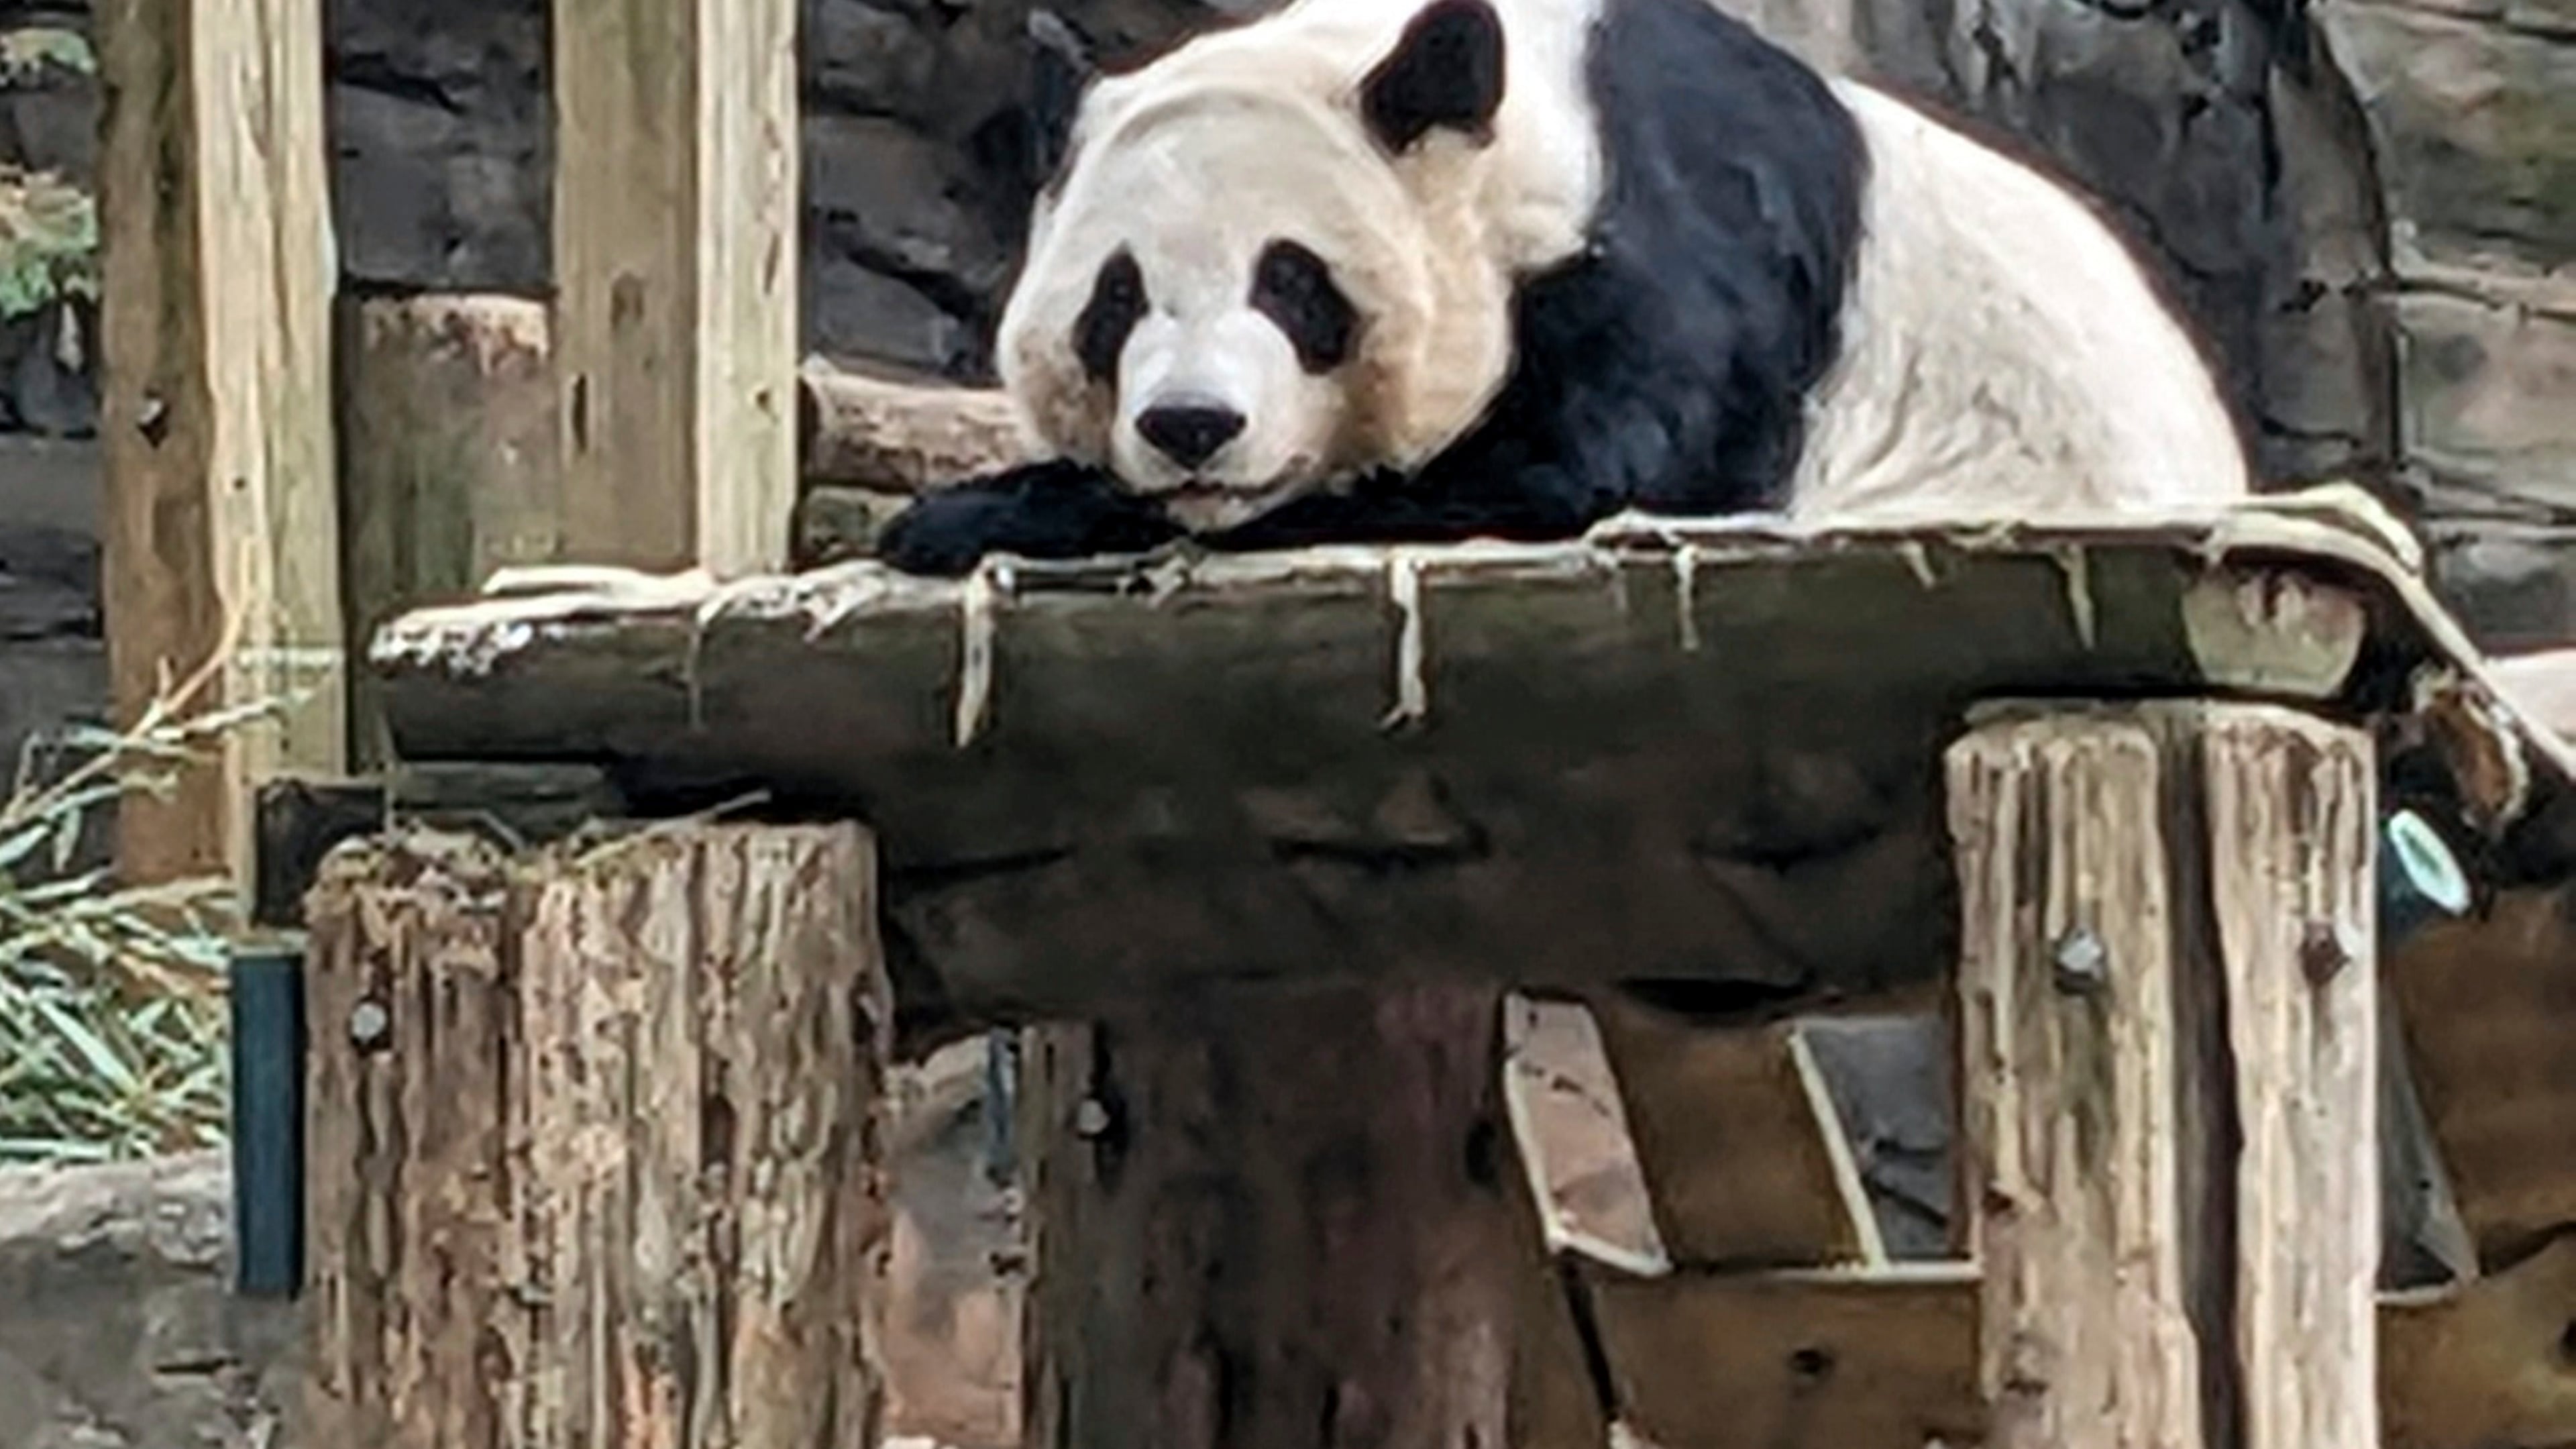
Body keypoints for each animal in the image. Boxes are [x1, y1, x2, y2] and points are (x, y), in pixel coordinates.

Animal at [876, 0, 2252, 577]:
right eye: (1116, 302)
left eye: (1294, 286)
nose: (1192, 427)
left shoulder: (1679, 247)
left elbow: (1567, 477)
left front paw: (979, 514)